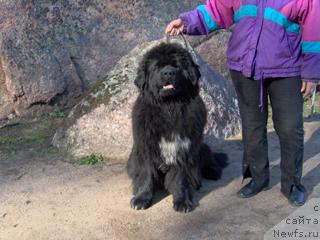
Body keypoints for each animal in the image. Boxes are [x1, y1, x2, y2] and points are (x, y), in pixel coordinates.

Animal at [127, 42, 228, 213]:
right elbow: (146, 175)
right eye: (156, 67)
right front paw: (141, 199)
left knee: (209, 160)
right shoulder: (146, 148)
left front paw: (182, 201)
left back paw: (211, 172)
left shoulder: (183, 149)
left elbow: (180, 178)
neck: (169, 108)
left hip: (200, 147)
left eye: (177, 66)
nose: (168, 72)